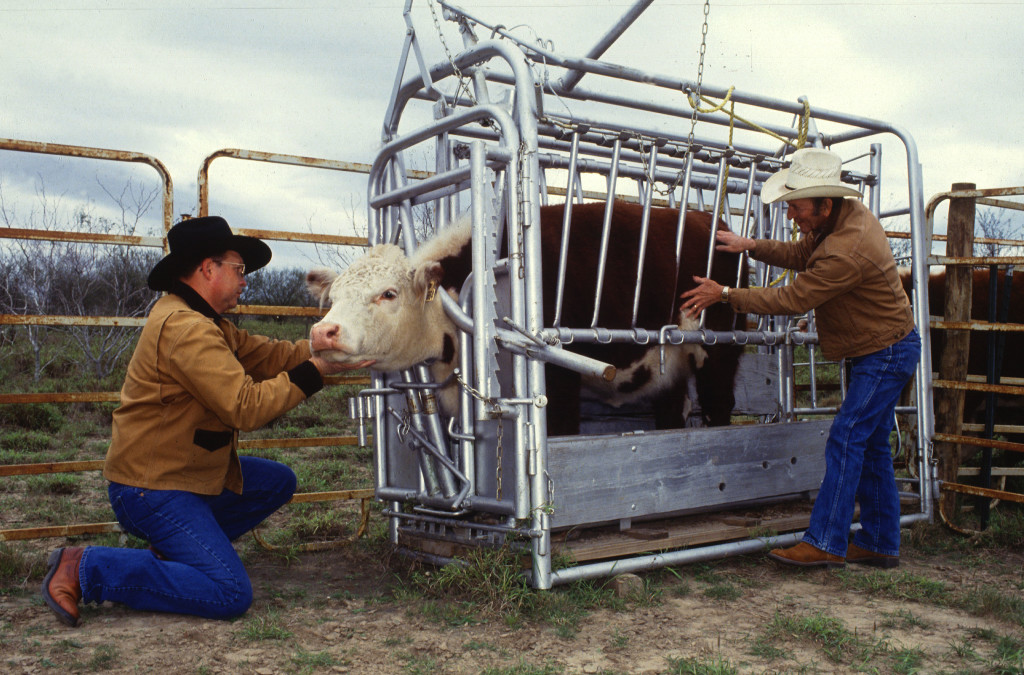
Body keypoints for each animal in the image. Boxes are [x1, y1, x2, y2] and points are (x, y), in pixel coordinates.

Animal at [303, 200, 745, 436]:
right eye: (333, 298)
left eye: (388, 294)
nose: (323, 332)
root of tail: (712, 221)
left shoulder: (558, 377)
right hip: (670, 360)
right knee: (672, 409)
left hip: (719, 349)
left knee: (719, 403)